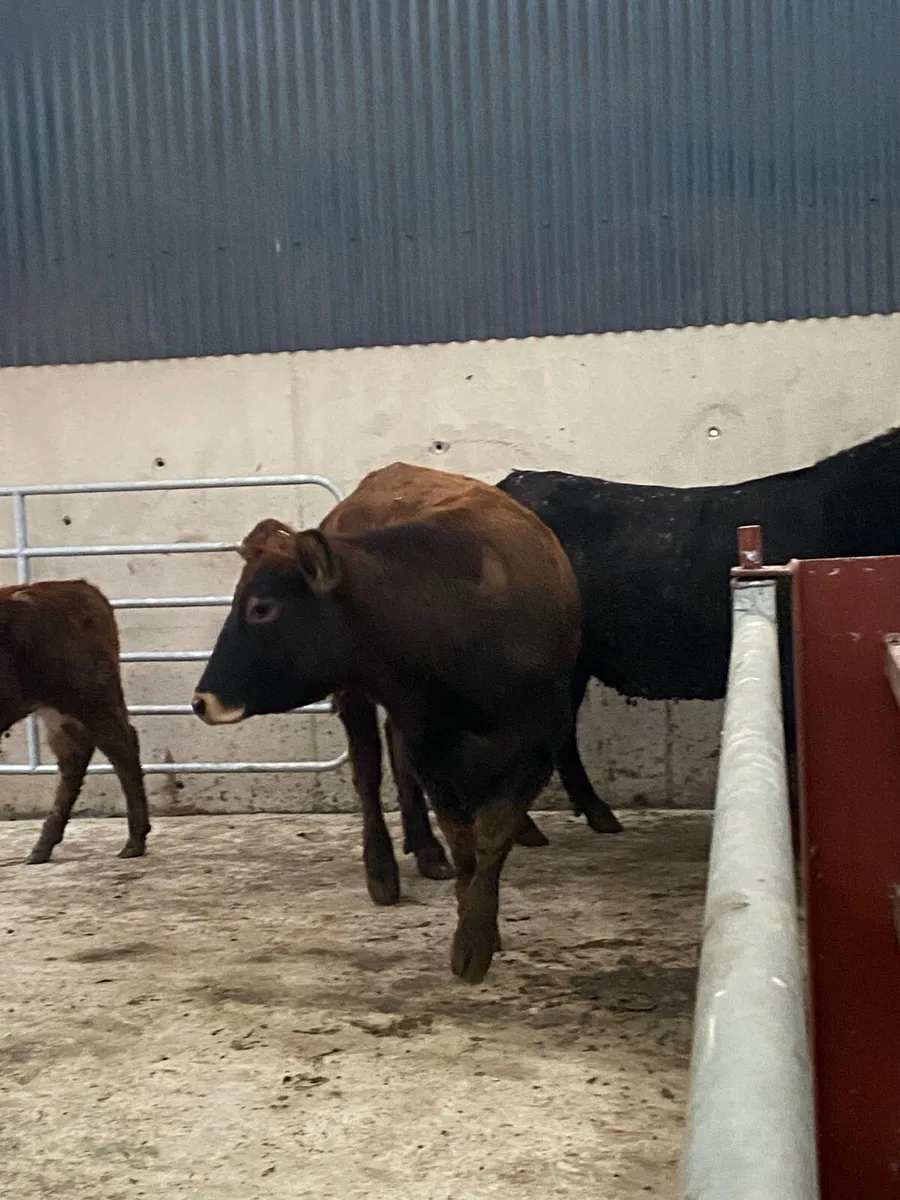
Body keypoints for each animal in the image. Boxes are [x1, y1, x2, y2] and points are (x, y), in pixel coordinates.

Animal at [0, 580, 151, 863]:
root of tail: (78, 587)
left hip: (90, 699)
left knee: (122, 749)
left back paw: (134, 842)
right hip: (59, 711)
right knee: (75, 757)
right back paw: (41, 848)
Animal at [192, 461, 582, 983]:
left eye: (261, 607)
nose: (201, 700)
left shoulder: (541, 736)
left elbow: (492, 829)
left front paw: (478, 932)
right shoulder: (429, 739)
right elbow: (462, 835)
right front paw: (473, 931)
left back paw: (425, 849)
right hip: (354, 695)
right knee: (369, 773)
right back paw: (383, 869)